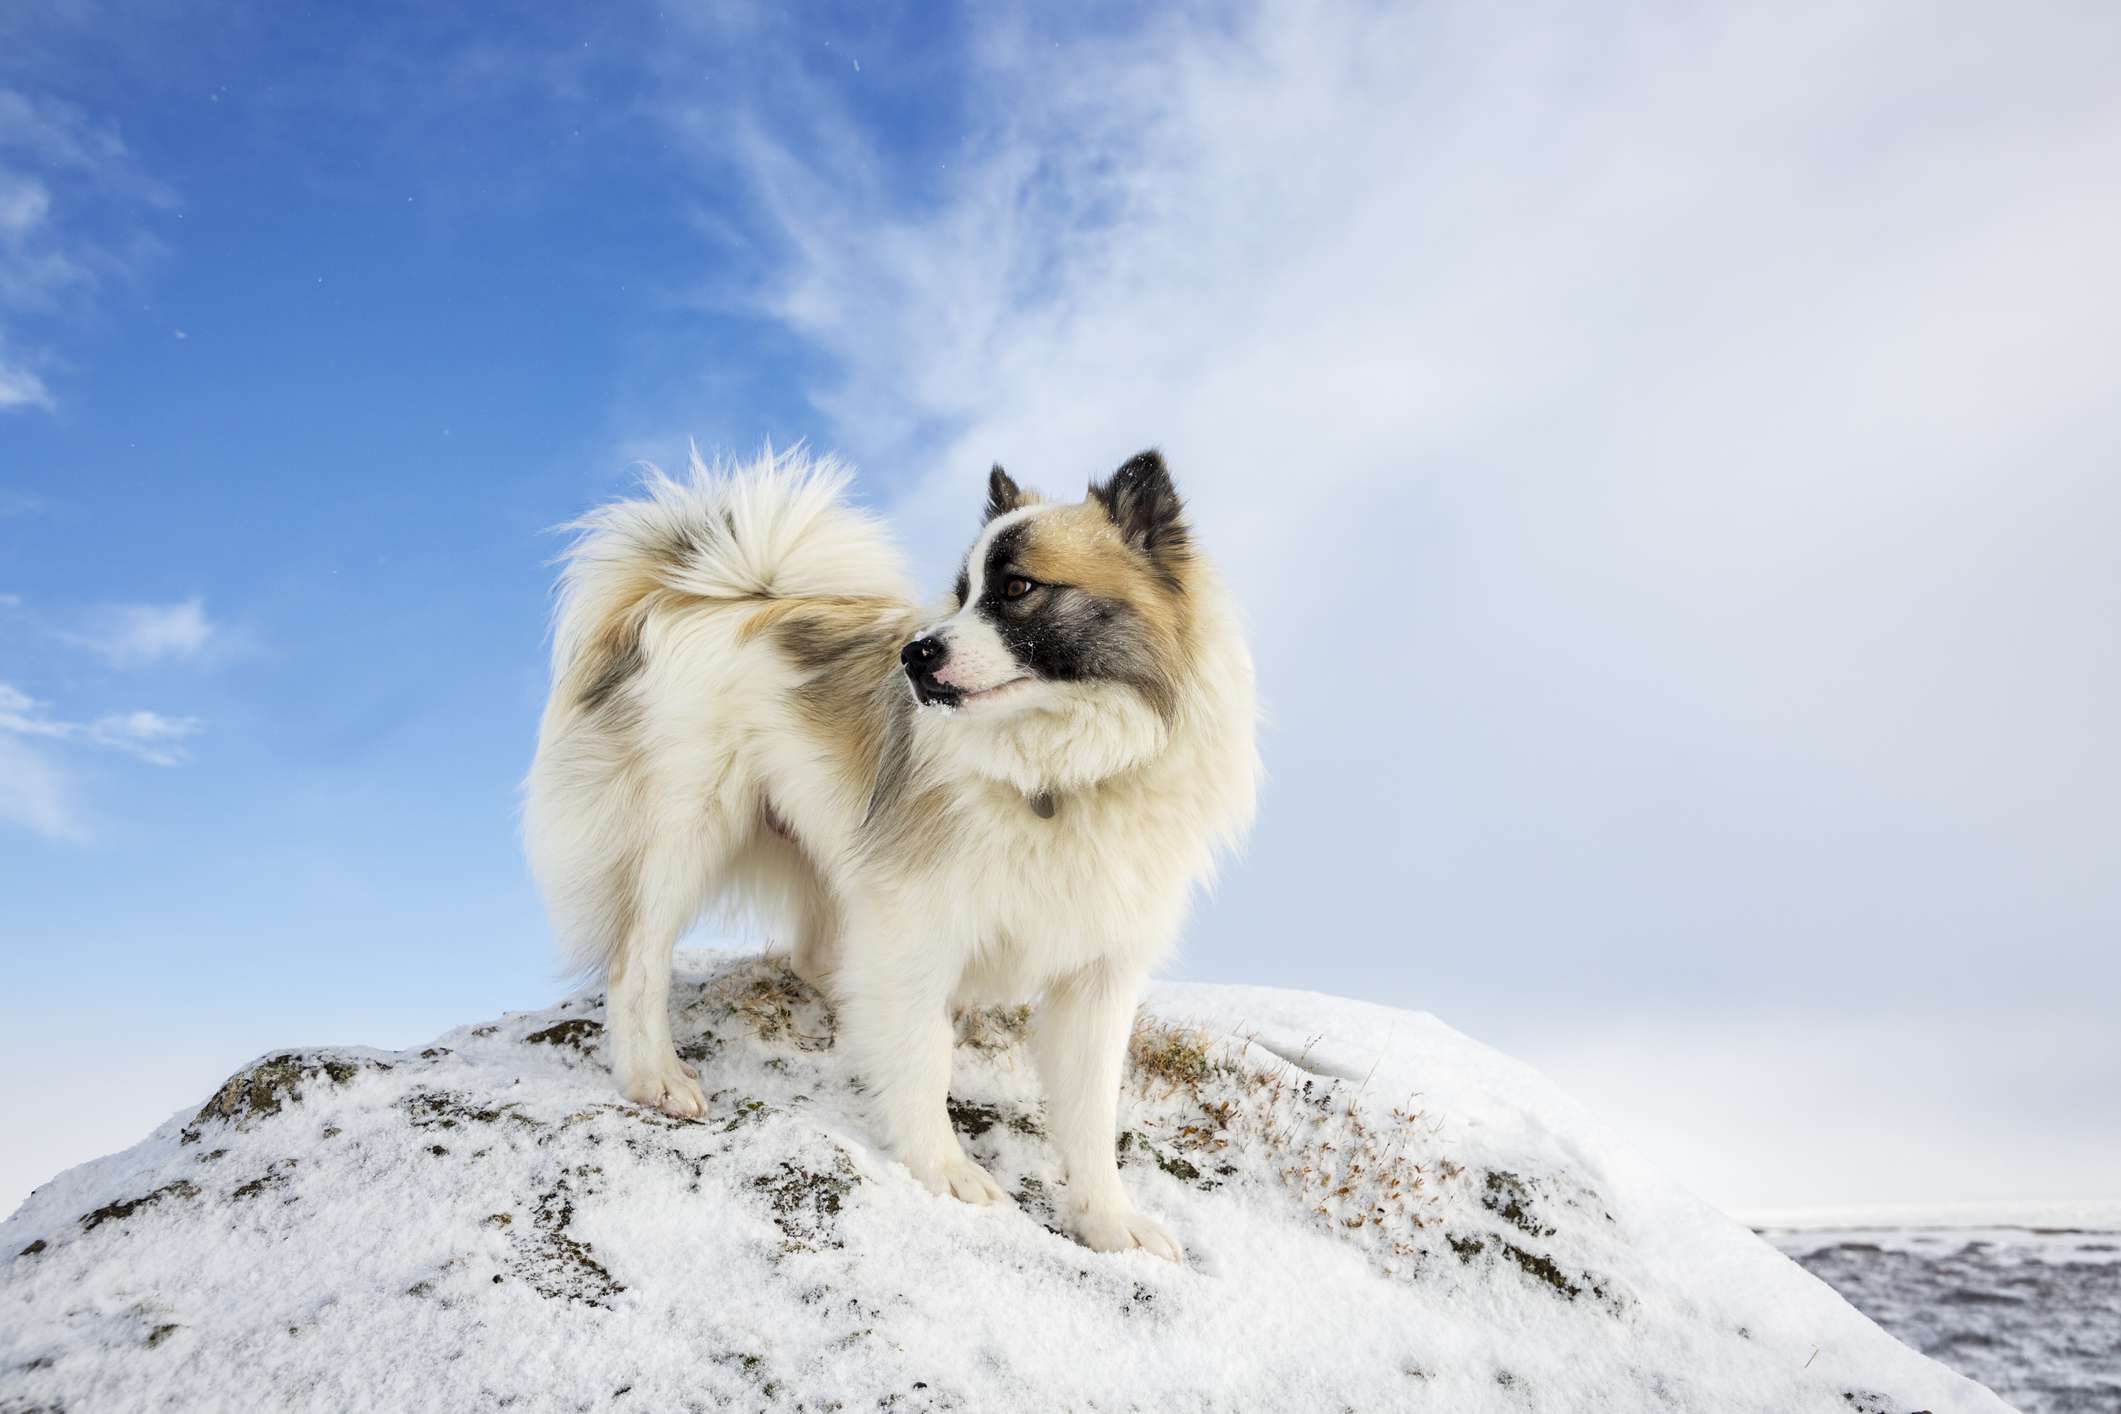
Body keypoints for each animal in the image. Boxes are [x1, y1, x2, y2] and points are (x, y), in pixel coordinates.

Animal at [526, 445, 1255, 1263]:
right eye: (961, 593)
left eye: (1017, 588)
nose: (915, 655)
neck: (1058, 777)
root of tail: (709, 597)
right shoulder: (916, 923)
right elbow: (922, 1060)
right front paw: (944, 1171)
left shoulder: (1099, 972)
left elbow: (1091, 1115)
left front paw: (1108, 1222)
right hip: (686, 833)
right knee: (635, 963)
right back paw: (653, 1077)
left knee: (816, 958)